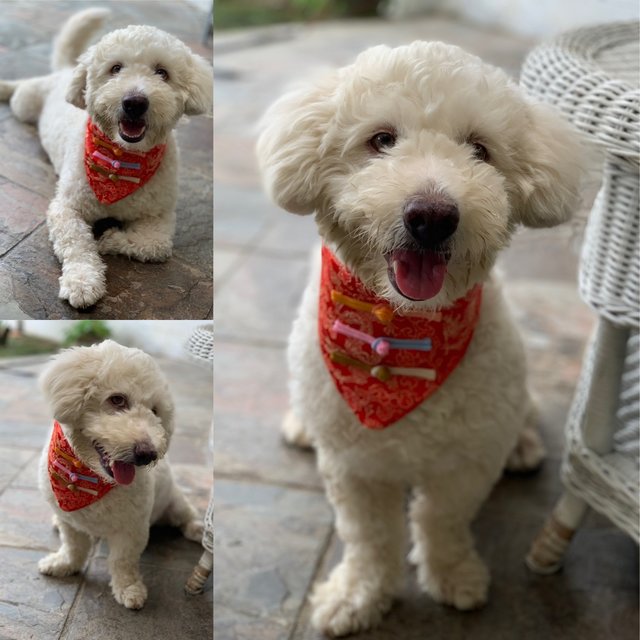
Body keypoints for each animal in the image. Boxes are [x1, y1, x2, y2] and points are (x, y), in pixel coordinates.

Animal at [0, 9, 214, 310]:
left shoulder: (159, 217)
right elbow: (77, 243)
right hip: (25, 103)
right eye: (115, 68)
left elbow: (154, 246)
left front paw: (109, 240)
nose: (134, 102)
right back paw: (4, 87)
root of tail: (67, 70)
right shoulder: (67, 208)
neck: (121, 160)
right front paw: (82, 281)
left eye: (162, 72)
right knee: (21, 87)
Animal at [38, 340, 202, 608]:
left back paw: (198, 529)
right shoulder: (69, 520)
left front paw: (128, 589)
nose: (147, 454)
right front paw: (64, 565)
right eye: (117, 400)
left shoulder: (132, 527)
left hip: (175, 502)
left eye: (155, 411)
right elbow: (73, 546)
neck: (89, 477)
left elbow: (122, 561)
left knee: (185, 516)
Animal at [256, 41, 584, 636]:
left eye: (479, 149)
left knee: (522, 412)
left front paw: (453, 576)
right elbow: (370, 536)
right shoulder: (354, 465)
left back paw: (523, 444)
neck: (401, 326)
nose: (431, 217)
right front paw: (358, 595)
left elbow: (441, 520)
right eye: (381, 140)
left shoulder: (464, 461)